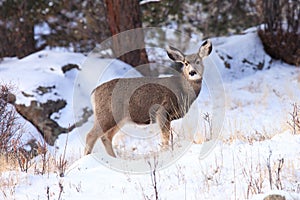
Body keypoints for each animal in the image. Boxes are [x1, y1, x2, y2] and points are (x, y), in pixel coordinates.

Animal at [83, 39, 212, 157]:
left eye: (198, 61)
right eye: (185, 63)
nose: (192, 72)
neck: (182, 90)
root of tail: (94, 93)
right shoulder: (162, 111)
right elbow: (165, 138)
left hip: (119, 118)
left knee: (106, 137)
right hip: (106, 114)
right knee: (91, 135)